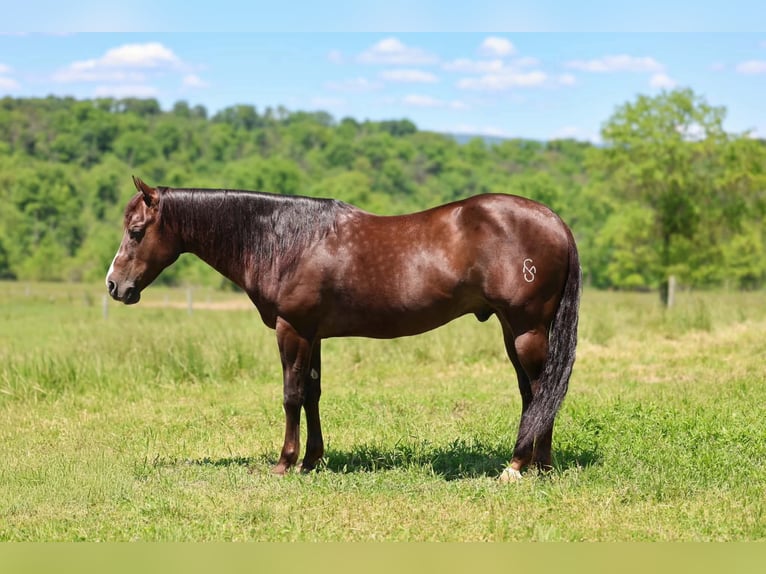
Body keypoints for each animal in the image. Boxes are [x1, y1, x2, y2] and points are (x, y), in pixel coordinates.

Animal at [106, 176, 581, 482]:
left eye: (136, 231)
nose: (115, 286)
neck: (286, 240)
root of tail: (555, 221)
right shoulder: (312, 335)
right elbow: (312, 394)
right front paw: (312, 460)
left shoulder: (291, 330)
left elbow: (291, 395)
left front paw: (285, 462)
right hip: (511, 329)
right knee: (533, 393)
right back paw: (534, 465)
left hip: (526, 328)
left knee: (542, 389)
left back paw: (523, 467)